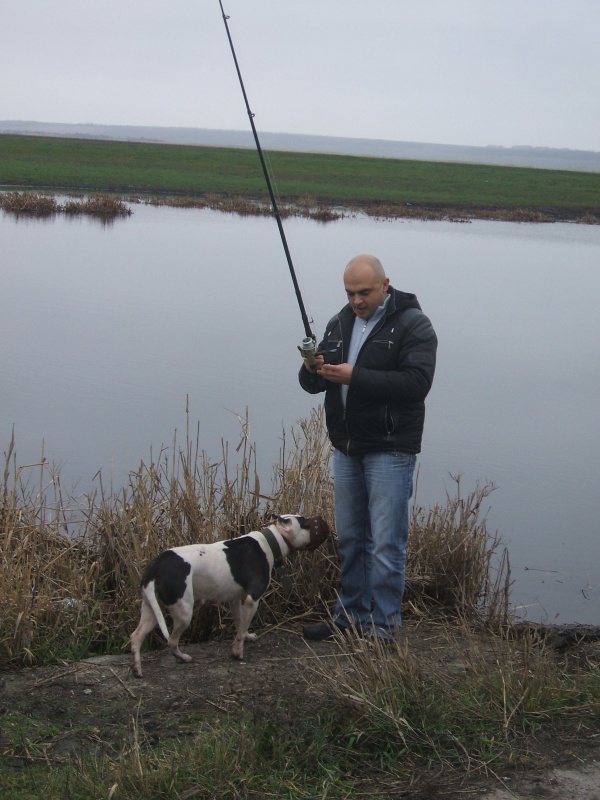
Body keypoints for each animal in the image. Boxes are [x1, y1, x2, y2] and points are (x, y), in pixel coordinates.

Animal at [130, 514, 330, 677]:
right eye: (305, 522)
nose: (323, 521)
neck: (272, 539)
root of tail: (155, 568)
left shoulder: (235, 599)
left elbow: (240, 623)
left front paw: (246, 636)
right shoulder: (252, 599)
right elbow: (241, 630)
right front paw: (238, 652)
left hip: (150, 609)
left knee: (136, 637)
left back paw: (137, 669)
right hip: (183, 612)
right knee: (171, 641)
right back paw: (183, 658)